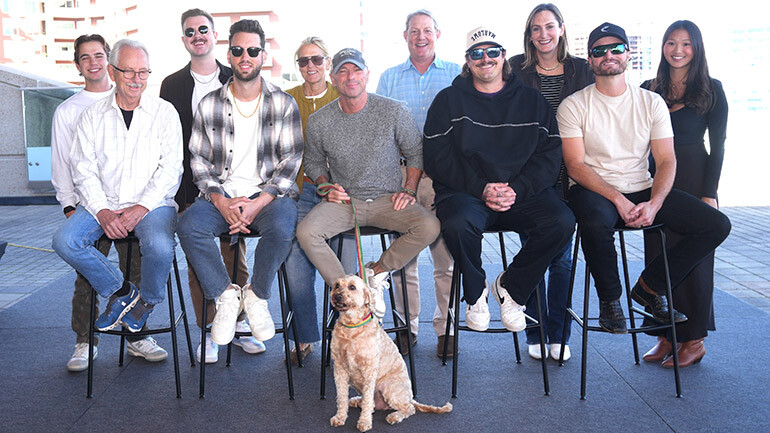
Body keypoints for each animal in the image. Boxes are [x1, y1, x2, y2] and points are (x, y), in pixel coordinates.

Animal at [328, 276, 450, 430]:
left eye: (352, 287)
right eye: (337, 286)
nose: (337, 296)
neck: (351, 328)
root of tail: (410, 397)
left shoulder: (369, 370)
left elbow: (368, 401)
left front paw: (364, 422)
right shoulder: (339, 369)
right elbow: (341, 397)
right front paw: (340, 417)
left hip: (389, 388)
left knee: (409, 408)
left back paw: (394, 416)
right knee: (373, 403)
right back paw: (357, 401)